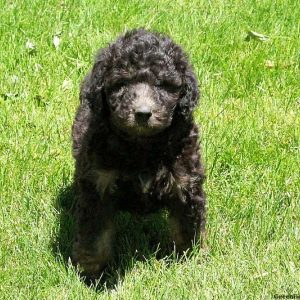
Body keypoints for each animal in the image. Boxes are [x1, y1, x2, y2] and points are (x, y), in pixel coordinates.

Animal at [71, 28, 206, 278]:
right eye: (122, 83)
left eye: (163, 85)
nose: (143, 113)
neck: (142, 147)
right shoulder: (99, 183)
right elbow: (94, 234)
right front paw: (91, 271)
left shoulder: (185, 181)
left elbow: (187, 226)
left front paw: (189, 258)